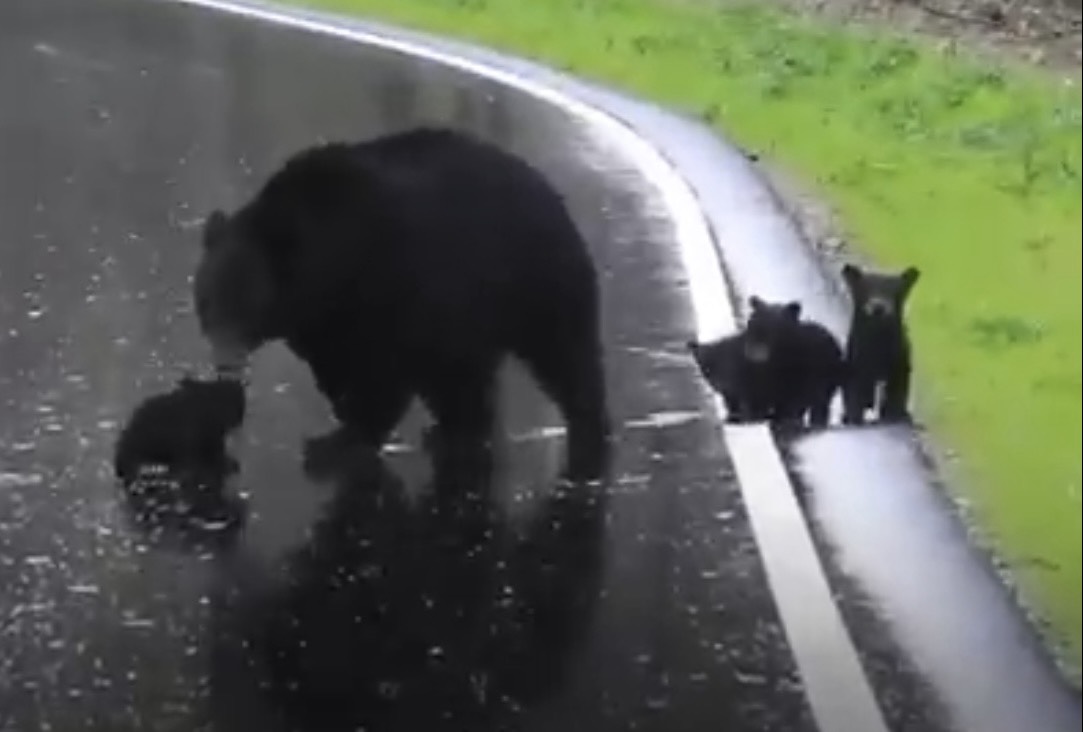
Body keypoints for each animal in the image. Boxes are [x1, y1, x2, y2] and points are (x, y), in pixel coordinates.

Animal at [192, 127, 611, 482]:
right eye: (207, 301)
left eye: (246, 303)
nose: (225, 363)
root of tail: (556, 198)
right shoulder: (323, 320)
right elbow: (337, 364)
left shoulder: (393, 286)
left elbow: (384, 371)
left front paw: (338, 443)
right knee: (464, 375)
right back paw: (453, 430)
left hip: (536, 283)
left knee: (565, 355)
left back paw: (584, 427)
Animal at [839, 263, 921, 425]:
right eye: (864, 288)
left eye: (896, 291)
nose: (878, 307)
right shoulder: (856, 363)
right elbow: (854, 393)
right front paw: (853, 416)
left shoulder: (899, 366)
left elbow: (896, 393)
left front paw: (893, 415)